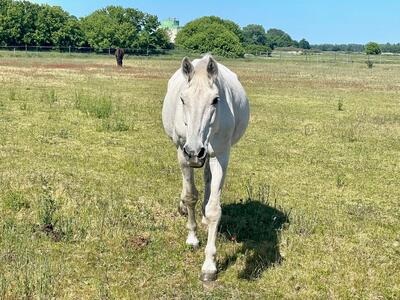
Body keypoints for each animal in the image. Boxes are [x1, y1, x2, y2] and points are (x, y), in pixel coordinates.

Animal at [161, 54, 248, 282]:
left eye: (215, 100)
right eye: (183, 99)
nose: (194, 152)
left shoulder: (220, 155)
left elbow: (214, 209)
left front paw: (209, 265)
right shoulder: (182, 153)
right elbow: (190, 196)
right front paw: (192, 238)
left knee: (208, 180)